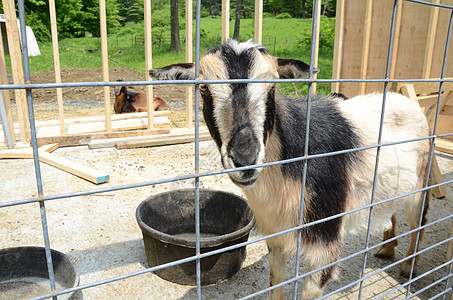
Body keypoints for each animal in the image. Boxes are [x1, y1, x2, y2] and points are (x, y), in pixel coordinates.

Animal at [149, 40, 430, 300]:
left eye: (272, 87)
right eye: (204, 88)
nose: (245, 157)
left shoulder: (325, 238)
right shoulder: (276, 234)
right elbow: (276, 280)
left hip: (421, 181)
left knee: (419, 220)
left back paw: (409, 267)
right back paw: (387, 250)